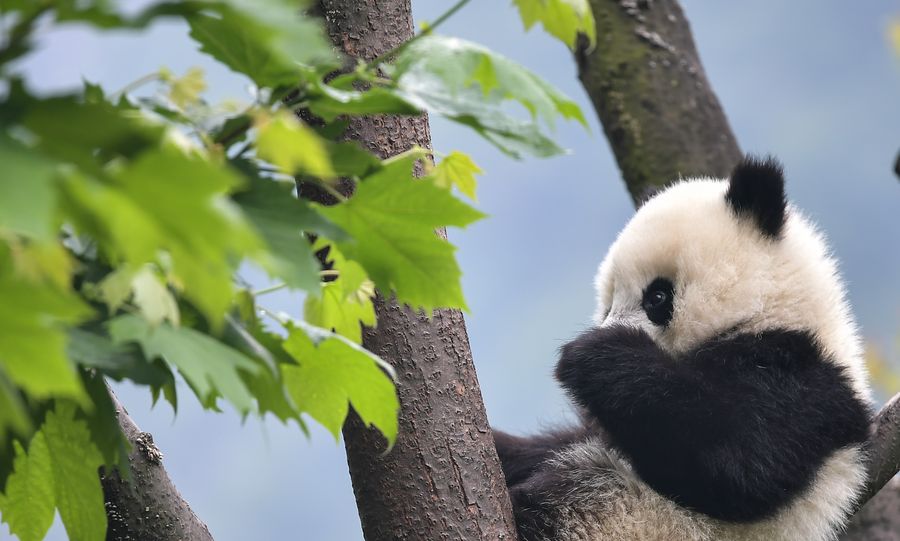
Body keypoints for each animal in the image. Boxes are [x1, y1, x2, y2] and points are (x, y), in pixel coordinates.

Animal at [493, 157, 873, 541]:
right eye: (607, 303)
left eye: (657, 297)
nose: (606, 327)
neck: (773, 311)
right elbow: (553, 444)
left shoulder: (799, 381)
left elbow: (742, 463)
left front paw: (594, 353)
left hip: (625, 517)